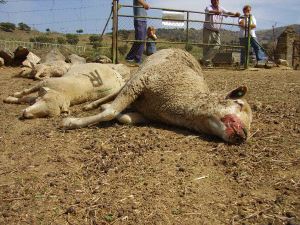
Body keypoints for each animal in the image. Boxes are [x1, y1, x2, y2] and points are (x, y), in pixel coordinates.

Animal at [63, 49, 253, 144]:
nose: (243, 135)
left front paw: (121, 114)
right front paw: (71, 122)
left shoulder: (148, 113)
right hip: (134, 77)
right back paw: (92, 105)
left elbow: (124, 118)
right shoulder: (139, 82)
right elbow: (110, 112)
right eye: (239, 103)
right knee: (113, 93)